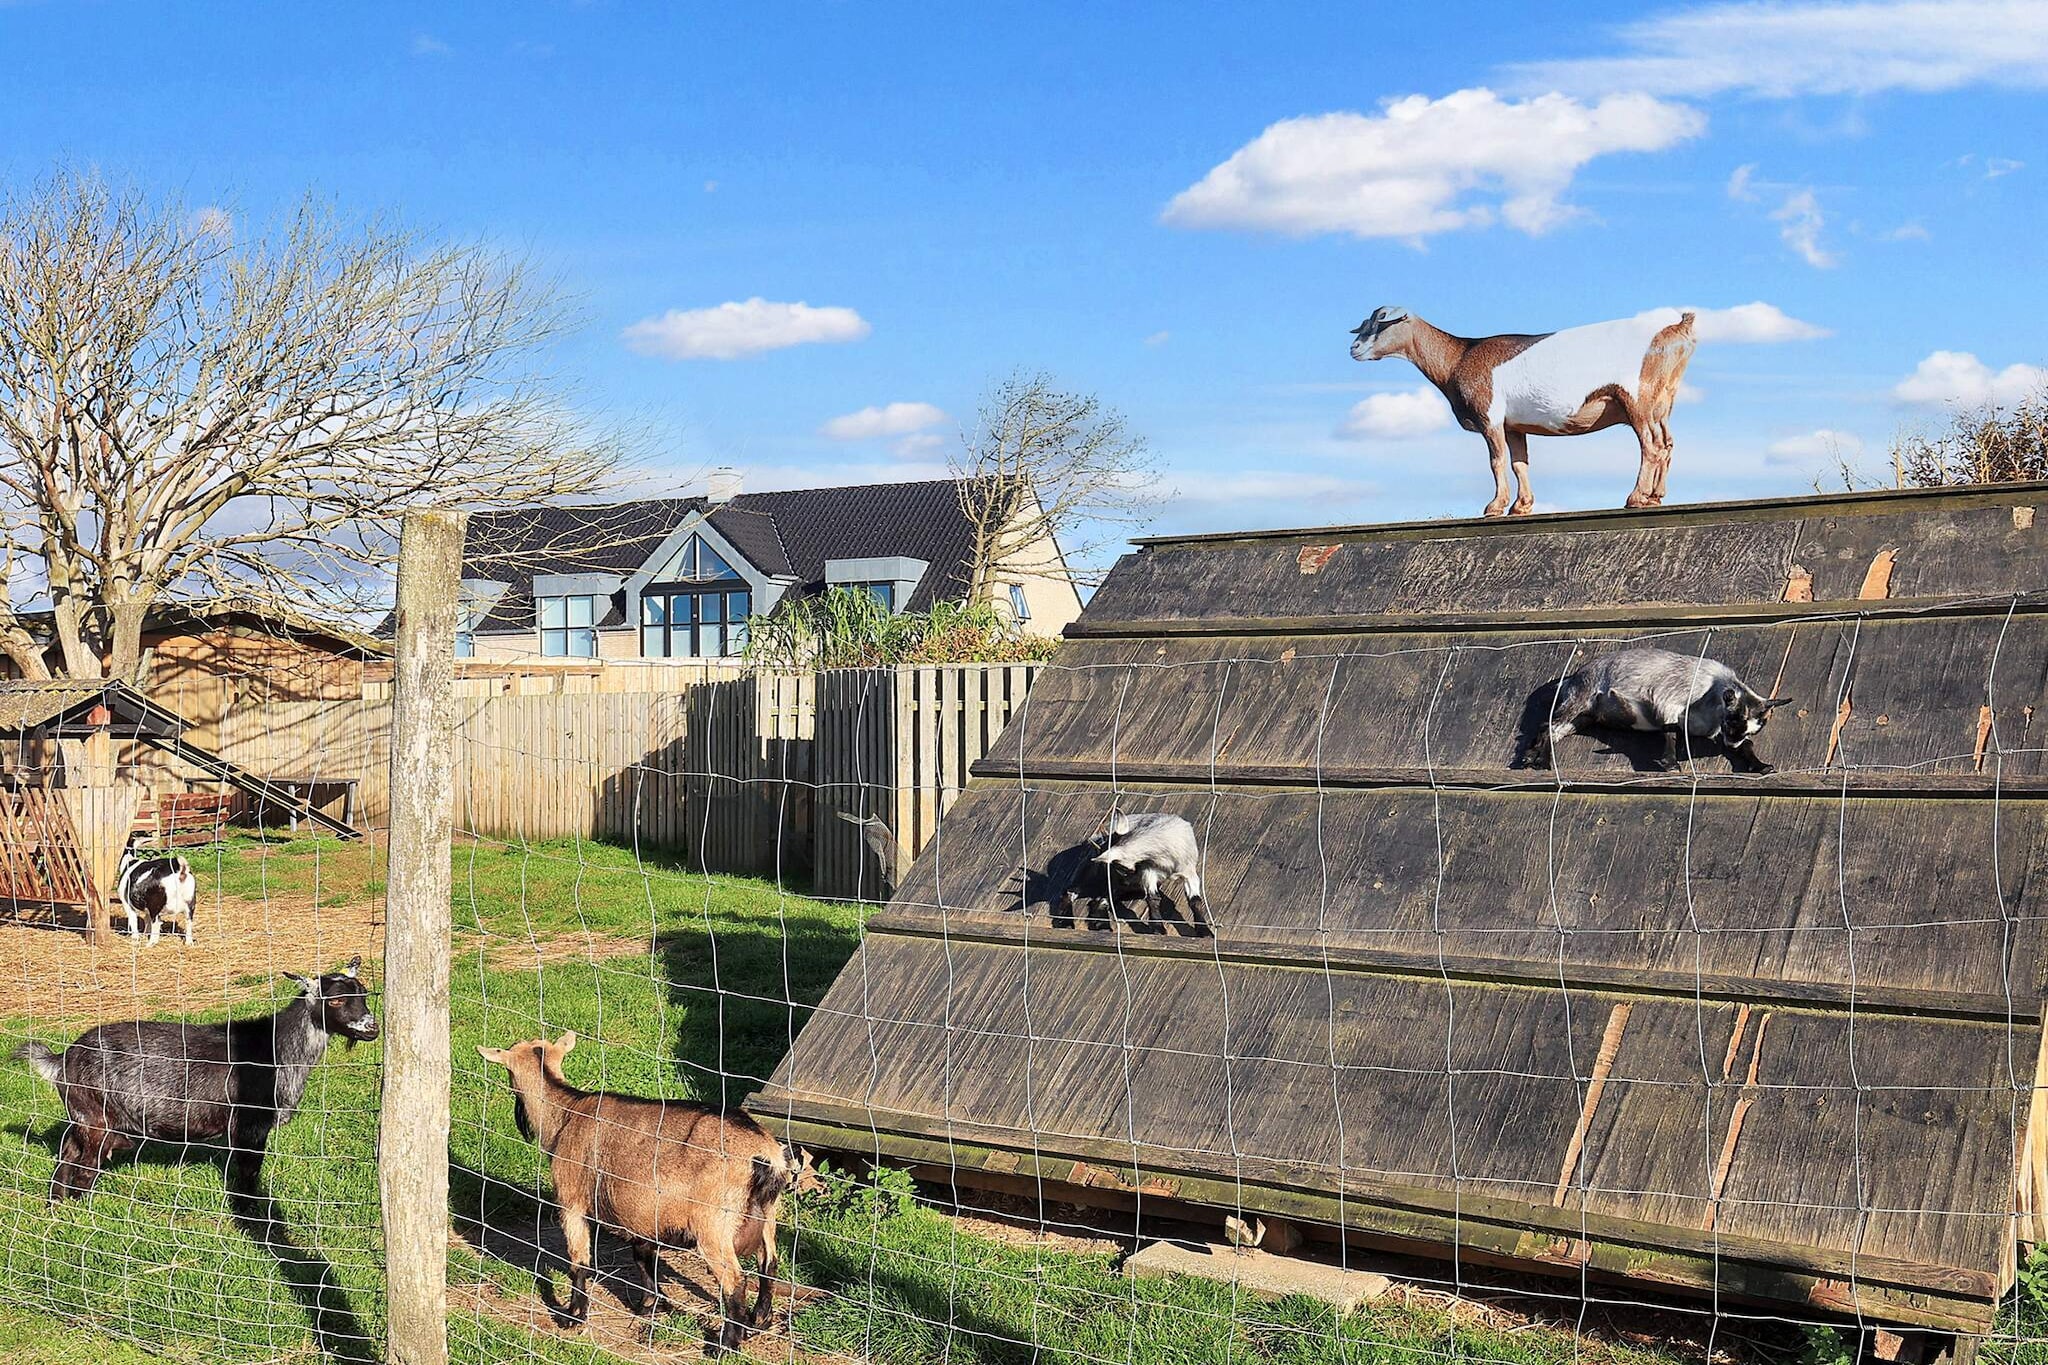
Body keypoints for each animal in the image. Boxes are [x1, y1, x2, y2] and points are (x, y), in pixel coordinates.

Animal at [12, 961, 376, 1219]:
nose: (372, 1028)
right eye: (336, 1000)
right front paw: (252, 1216)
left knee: (66, 1155)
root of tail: (63, 1059)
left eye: (364, 993)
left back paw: (57, 1207)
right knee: (85, 1168)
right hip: (96, 1119)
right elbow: (249, 1171)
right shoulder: (251, 1123)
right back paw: (81, 1216)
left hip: (82, 1118)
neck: (276, 1049)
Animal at [477, 1031, 798, 1350]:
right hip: (768, 1215)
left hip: (713, 1225)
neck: (567, 1113)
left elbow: (579, 1260)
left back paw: (727, 1343)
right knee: (769, 1263)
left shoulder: (572, 1201)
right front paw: (649, 1305)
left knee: (734, 1280)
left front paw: (574, 1316)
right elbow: (643, 1257)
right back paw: (760, 1320)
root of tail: (764, 1154)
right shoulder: (642, 1213)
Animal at [1056, 810, 1212, 941]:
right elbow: (1153, 898)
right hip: (1096, 879)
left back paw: (1102, 926)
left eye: (1117, 868)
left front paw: (1205, 932)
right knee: (1072, 891)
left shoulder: (1189, 871)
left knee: (1099, 899)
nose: (1122, 881)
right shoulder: (1148, 870)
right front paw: (1158, 929)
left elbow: (1195, 901)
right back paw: (1066, 923)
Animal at [1351, 304, 1703, 517]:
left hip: (1636, 399)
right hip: (1661, 403)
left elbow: (1496, 461)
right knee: (1667, 443)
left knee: (1651, 446)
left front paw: (1495, 506)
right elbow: (1520, 462)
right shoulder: (1513, 426)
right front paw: (1521, 506)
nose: (1354, 348)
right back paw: (1655, 496)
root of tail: (1677, 328)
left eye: (1383, 323)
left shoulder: (1490, 416)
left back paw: (1636, 498)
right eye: (1364, 325)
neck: (1459, 356)